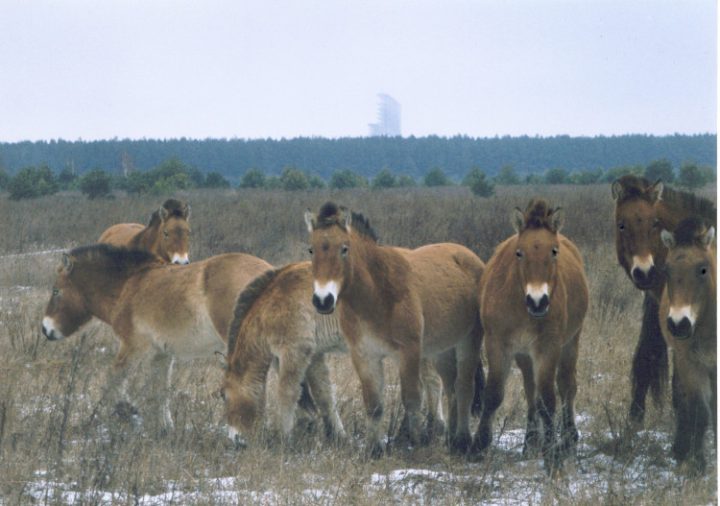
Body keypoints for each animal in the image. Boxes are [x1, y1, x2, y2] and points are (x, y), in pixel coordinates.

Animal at [41, 244, 271, 434]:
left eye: (56, 291)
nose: (45, 329)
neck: (128, 285)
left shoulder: (132, 347)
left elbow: (112, 380)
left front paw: (125, 412)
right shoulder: (162, 355)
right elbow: (160, 390)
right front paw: (164, 427)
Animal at [222, 261, 447, 449]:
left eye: (224, 396)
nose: (236, 441)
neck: (271, 304)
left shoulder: (294, 352)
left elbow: (287, 393)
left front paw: (283, 439)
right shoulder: (311, 356)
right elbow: (323, 395)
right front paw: (337, 436)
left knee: (430, 383)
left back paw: (426, 432)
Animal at [304, 202, 485, 457]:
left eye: (344, 248)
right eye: (311, 250)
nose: (323, 300)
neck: (377, 293)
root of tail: (472, 258)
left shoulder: (408, 352)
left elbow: (411, 399)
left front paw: (416, 443)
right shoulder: (364, 356)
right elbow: (373, 404)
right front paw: (374, 449)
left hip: (468, 342)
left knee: (464, 389)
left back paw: (462, 440)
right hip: (442, 351)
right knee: (451, 389)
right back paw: (450, 439)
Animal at [471, 199, 588, 473]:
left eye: (554, 251)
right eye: (519, 252)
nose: (538, 301)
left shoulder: (548, 348)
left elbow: (548, 399)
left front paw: (552, 454)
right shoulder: (498, 345)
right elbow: (493, 394)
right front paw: (479, 446)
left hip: (570, 343)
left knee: (566, 386)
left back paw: (568, 440)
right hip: (524, 355)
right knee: (530, 387)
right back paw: (531, 441)